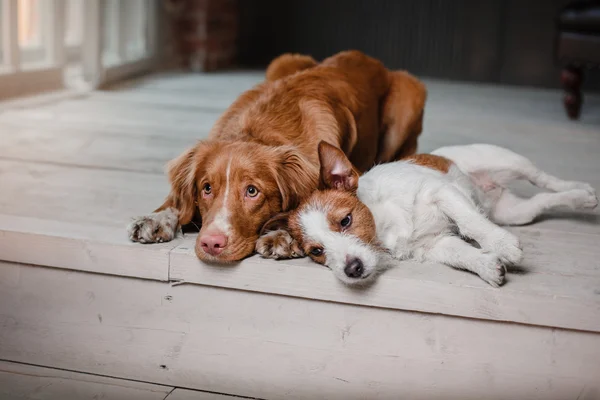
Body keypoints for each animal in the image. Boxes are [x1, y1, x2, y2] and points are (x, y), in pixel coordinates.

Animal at [127, 50, 426, 262]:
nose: (211, 243)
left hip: (410, 93)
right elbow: (176, 201)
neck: (257, 129)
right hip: (284, 62)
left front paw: (283, 236)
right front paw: (155, 218)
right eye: (206, 188)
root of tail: (368, 57)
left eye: (252, 191)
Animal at [260, 142, 596, 286]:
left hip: (511, 162)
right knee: (543, 199)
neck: (385, 227)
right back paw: (577, 197)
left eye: (345, 220)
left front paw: (501, 245)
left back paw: (582, 191)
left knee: (546, 180)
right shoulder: (434, 245)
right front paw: (487, 266)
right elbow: (462, 254)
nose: (352, 269)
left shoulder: (441, 193)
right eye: (316, 251)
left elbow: (471, 224)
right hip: (515, 212)